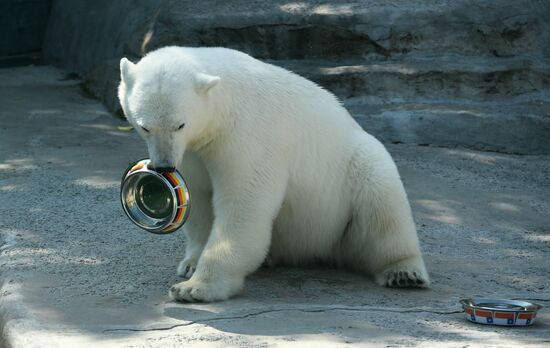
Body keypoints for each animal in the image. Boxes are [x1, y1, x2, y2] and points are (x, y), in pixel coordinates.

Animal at [118, 46, 432, 302]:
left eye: (180, 124)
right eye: (145, 126)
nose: (163, 166)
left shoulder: (246, 136)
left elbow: (244, 202)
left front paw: (196, 287)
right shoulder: (194, 153)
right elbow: (198, 197)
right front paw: (190, 264)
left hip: (353, 172)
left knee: (383, 203)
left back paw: (404, 272)